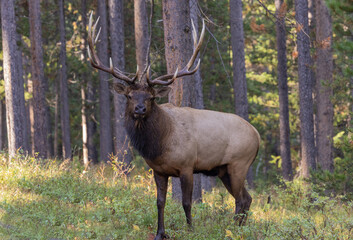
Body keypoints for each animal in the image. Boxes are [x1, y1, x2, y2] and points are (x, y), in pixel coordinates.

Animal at [87, 11, 260, 240]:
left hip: (239, 163)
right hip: (223, 170)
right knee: (247, 198)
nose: (140, 109)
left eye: (151, 97)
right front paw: (160, 233)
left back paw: (233, 231)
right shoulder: (158, 171)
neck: (159, 144)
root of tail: (257, 135)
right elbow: (160, 202)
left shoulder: (187, 166)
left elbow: (186, 202)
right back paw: (240, 229)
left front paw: (190, 230)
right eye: (130, 96)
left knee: (241, 199)